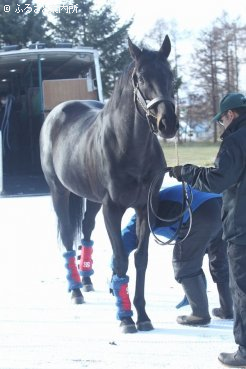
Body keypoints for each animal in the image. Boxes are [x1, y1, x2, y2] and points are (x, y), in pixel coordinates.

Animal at [40, 36, 179, 332]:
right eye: (140, 77)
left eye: (170, 75)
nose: (167, 123)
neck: (129, 147)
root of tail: (57, 113)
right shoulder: (112, 209)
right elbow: (121, 258)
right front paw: (125, 317)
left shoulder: (144, 208)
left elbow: (140, 258)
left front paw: (143, 315)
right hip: (59, 191)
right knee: (68, 236)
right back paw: (75, 290)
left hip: (91, 200)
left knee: (86, 230)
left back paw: (86, 280)